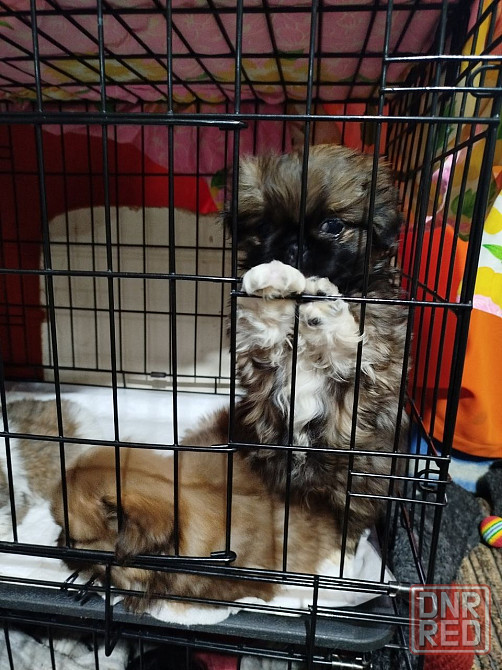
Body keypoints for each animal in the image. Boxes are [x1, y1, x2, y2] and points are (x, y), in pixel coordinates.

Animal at [222, 144, 410, 541]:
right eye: (264, 227)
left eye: (334, 226)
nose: (294, 246)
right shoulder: (260, 355)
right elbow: (263, 319)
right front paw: (271, 278)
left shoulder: (367, 358)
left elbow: (345, 332)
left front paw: (322, 297)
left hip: (360, 483)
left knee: (353, 521)